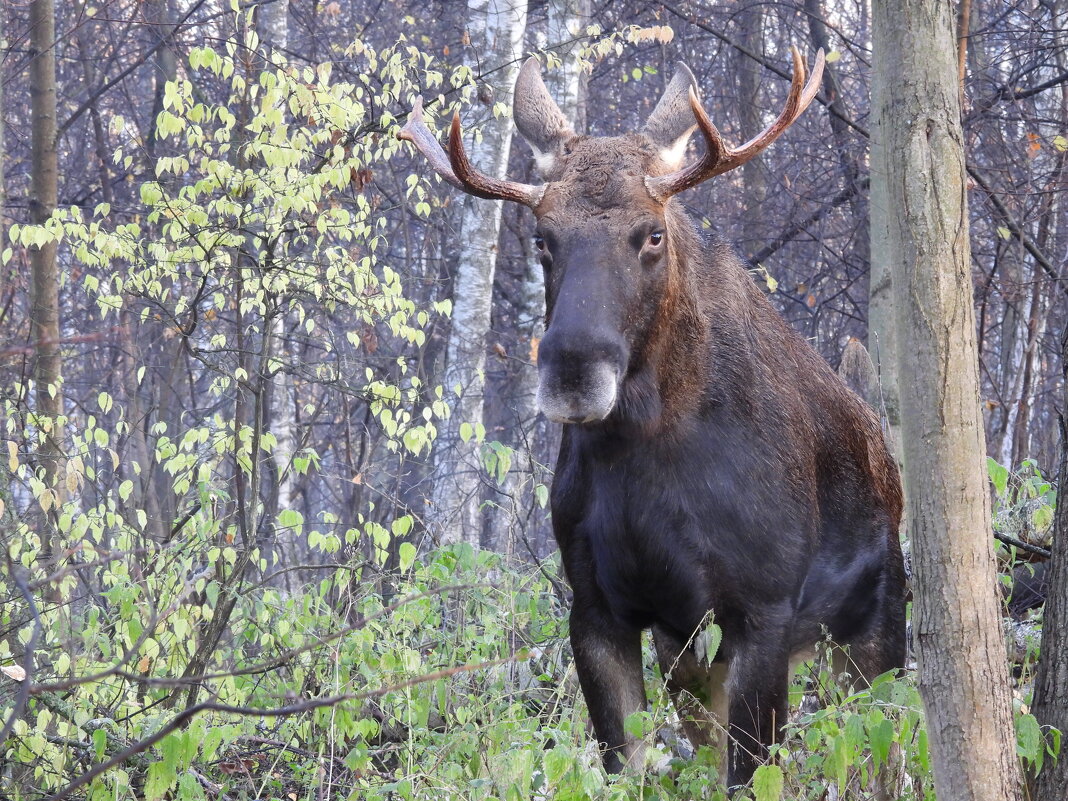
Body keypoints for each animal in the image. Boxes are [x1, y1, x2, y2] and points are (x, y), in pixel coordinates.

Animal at [397, 48, 905, 790]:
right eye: (543, 238)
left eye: (653, 233)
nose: (573, 369)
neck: (643, 459)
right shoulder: (598, 609)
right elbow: (626, 767)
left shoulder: (764, 607)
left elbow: (750, 775)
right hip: (690, 655)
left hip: (876, 632)